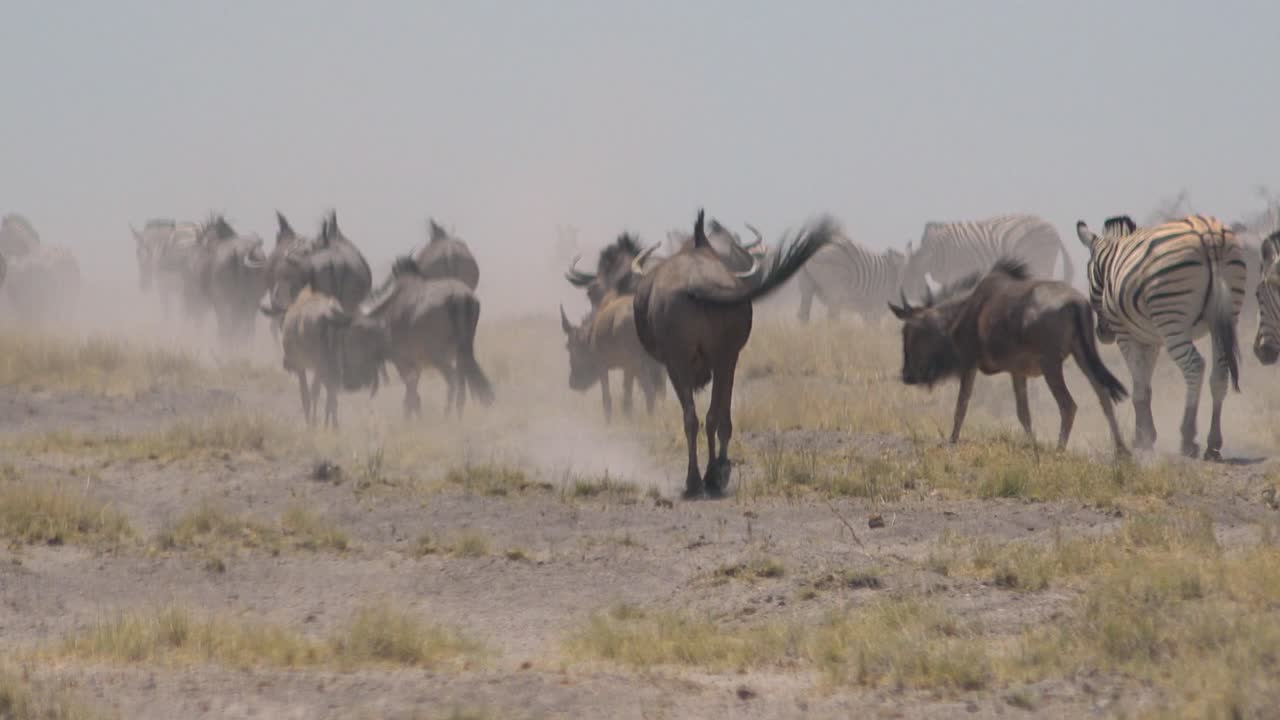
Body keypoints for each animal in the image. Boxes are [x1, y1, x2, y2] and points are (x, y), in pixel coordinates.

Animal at [900, 214, 1073, 297]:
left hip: (1042, 258)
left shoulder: (957, 270)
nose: (910, 296)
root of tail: (1053, 229)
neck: (935, 252)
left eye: (911, 275)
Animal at [1075, 214, 1246, 460]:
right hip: (1226, 315)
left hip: (1171, 317)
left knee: (1194, 366)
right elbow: (1145, 385)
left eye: (1089, 274)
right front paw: (1146, 435)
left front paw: (1142, 439)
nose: (1102, 334)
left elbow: (1138, 385)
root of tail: (1207, 232)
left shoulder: (1126, 334)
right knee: (1219, 375)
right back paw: (1213, 444)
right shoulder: (1151, 338)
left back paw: (1188, 438)